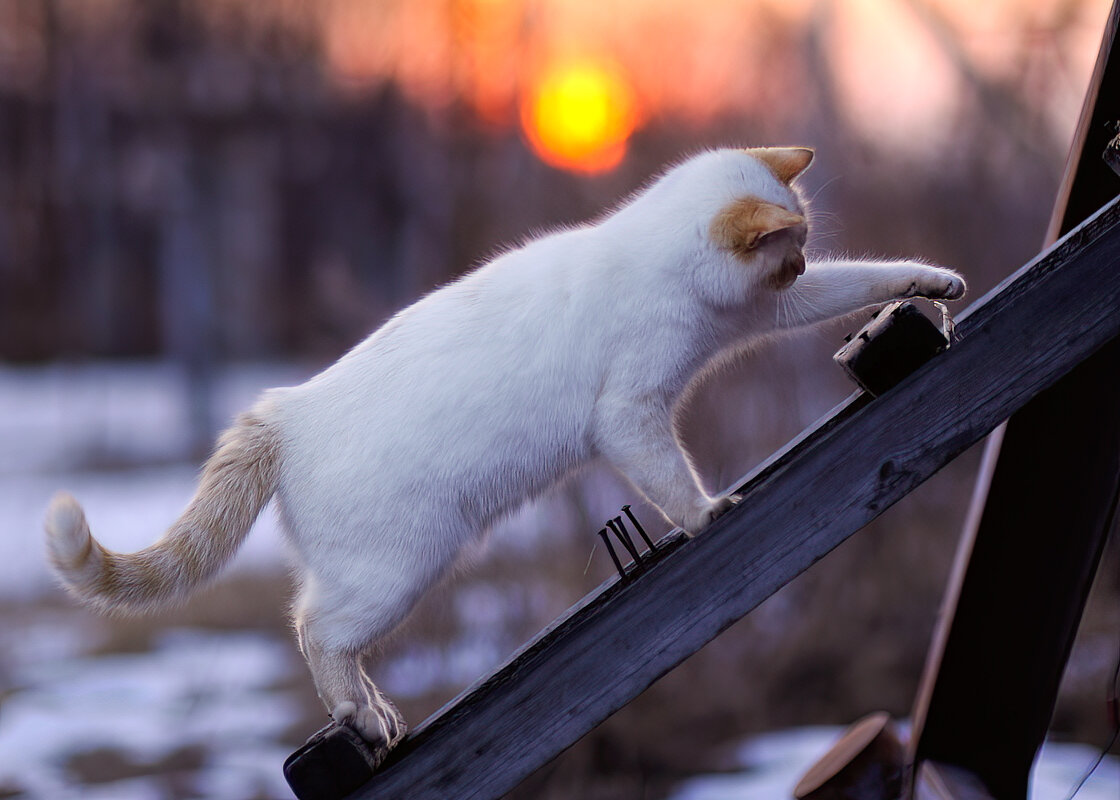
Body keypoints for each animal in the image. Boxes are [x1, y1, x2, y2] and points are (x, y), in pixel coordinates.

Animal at [43, 146, 963, 757]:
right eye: (788, 244)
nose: (800, 258)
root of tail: (286, 409)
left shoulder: (773, 313)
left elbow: (867, 276)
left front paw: (937, 283)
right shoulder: (630, 416)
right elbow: (674, 482)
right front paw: (706, 514)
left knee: (317, 624)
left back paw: (376, 714)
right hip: (401, 567)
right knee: (314, 628)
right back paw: (364, 718)